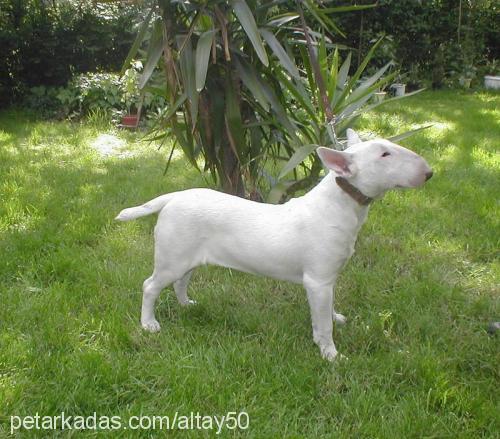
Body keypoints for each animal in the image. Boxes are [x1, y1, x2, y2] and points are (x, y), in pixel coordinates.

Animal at [115, 130, 432, 360]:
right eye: (385, 154)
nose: (429, 173)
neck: (340, 204)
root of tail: (174, 197)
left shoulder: (327, 279)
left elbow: (328, 310)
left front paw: (337, 318)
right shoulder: (317, 281)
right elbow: (322, 324)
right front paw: (331, 355)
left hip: (186, 257)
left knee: (181, 282)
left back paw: (187, 305)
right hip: (172, 257)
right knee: (150, 286)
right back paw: (149, 324)